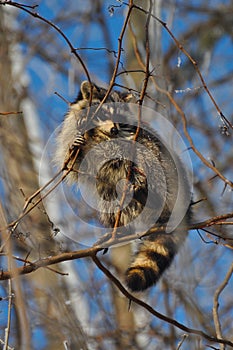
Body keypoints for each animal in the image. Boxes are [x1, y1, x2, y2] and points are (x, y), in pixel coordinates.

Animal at [56, 80, 191, 292]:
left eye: (119, 117)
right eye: (104, 113)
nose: (113, 130)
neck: (97, 133)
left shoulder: (130, 135)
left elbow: (124, 147)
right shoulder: (71, 133)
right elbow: (73, 164)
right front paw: (74, 151)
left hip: (165, 173)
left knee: (143, 158)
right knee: (107, 193)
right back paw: (120, 227)